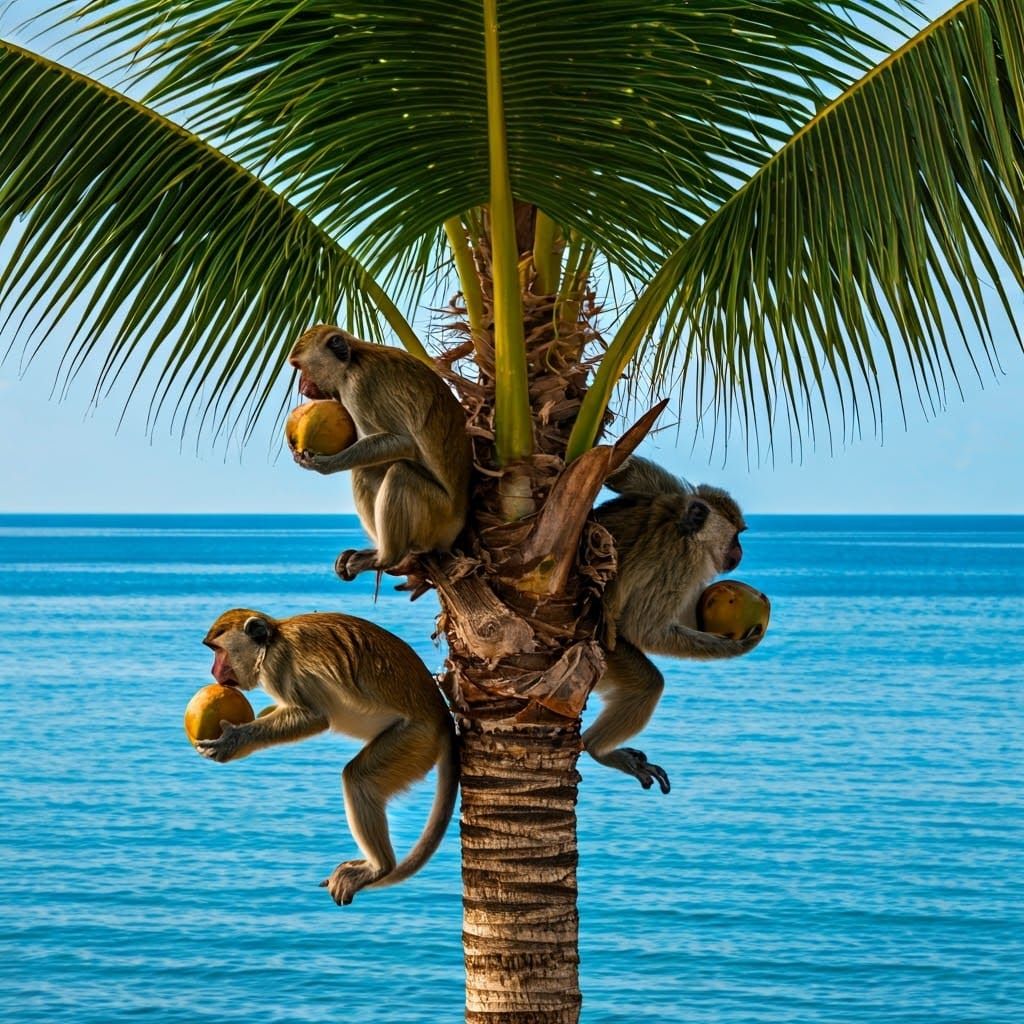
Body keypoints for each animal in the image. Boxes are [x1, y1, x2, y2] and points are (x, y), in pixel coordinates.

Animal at [196, 608, 459, 906]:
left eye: (218, 651)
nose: (213, 671)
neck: (272, 641)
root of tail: (441, 712)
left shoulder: (281, 666)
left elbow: (314, 718)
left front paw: (233, 741)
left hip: (416, 737)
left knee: (359, 778)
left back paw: (379, 867)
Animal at [287, 326, 471, 580]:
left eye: (300, 368)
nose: (300, 384)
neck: (352, 361)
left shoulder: (358, 387)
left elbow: (403, 442)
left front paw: (325, 464)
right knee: (366, 471)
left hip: (438, 516)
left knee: (399, 474)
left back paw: (386, 558)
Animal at [584, 457, 764, 794]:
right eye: (735, 537)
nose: (741, 551)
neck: (684, 528)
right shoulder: (680, 560)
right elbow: (645, 629)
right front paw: (739, 646)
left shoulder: (668, 493)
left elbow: (626, 470)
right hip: (602, 652)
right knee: (648, 684)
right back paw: (596, 748)